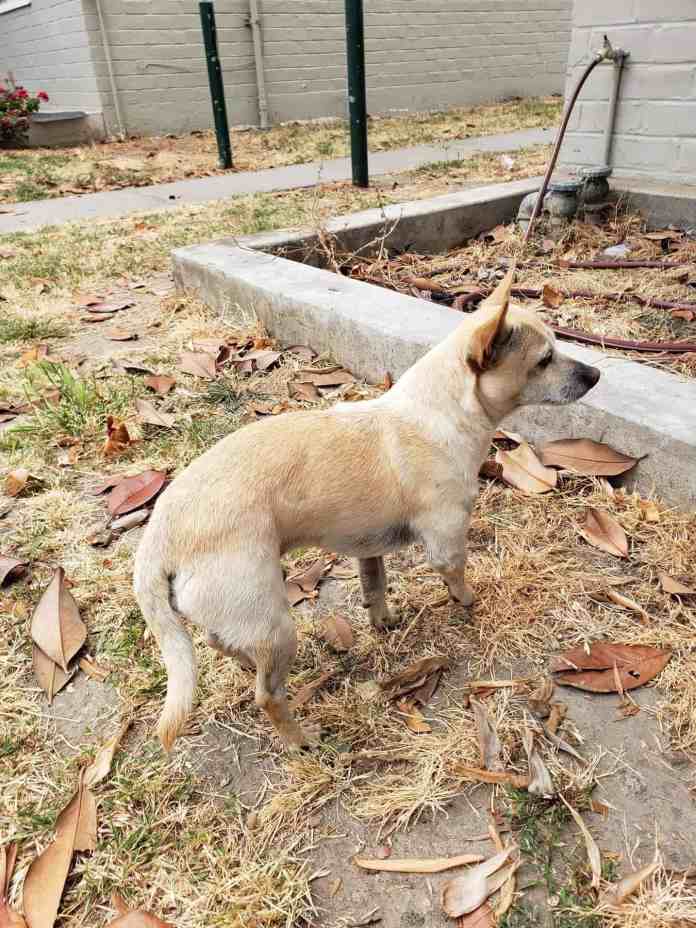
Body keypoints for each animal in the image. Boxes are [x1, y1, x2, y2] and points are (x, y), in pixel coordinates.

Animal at [135, 268, 600, 752]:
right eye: (545, 360)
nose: (596, 373)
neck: (440, 411)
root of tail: (158, 538)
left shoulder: (368, 549)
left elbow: (375, 588)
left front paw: (384, 621)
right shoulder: (447, 539)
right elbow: (456, 575)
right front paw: (468, 601)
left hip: (244, 617)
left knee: (219, 640)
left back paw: (245, 660)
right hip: (274, 624)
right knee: (268, 695)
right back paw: (300, 739)